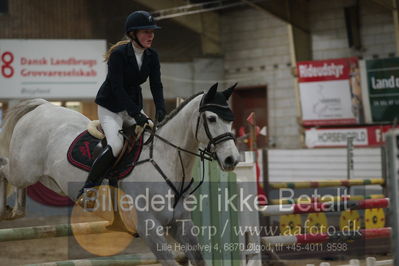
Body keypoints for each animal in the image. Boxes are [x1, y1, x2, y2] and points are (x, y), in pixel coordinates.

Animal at [0, 82, 241, 264]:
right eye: (212, 118)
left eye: (230, 119)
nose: (232, 159)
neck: (166, 162)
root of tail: (41, 107)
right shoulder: (148, 228)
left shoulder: (182, 224)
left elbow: (199, 258)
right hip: (23, 169)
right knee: (4, 168)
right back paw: (7, 210)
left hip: (47, 178)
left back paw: (18, 210)